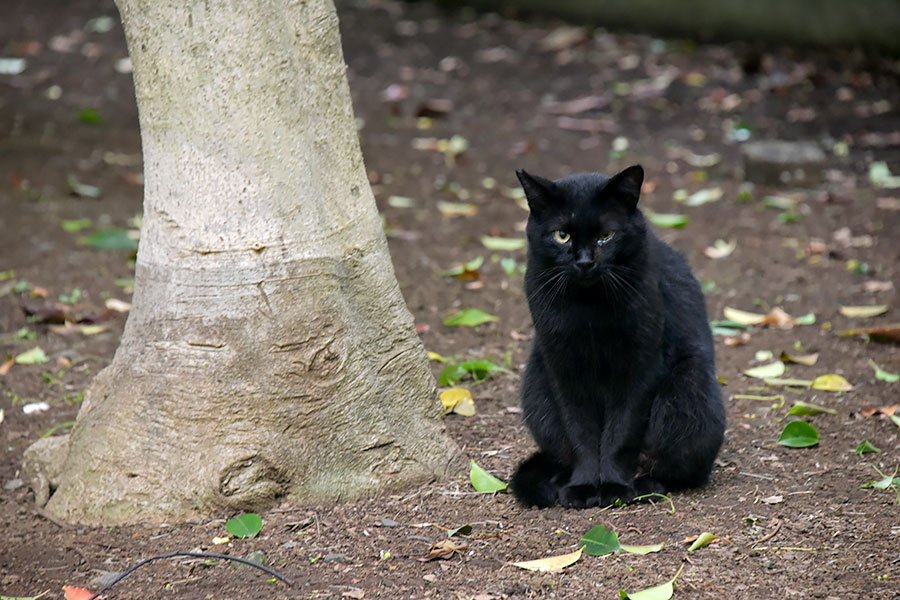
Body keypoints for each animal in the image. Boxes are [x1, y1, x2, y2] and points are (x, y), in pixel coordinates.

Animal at [510, 165, 728, 510]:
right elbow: (580, 432)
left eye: (606, 236)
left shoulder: (641, 365)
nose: (585, 261)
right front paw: (584, 486)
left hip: (689, 385)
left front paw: (612, 485)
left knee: (677, 469)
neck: (590, 311)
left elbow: (622, 432)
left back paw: (644, 484)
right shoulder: (563, 367)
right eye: (562, 235)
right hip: (536, 383)